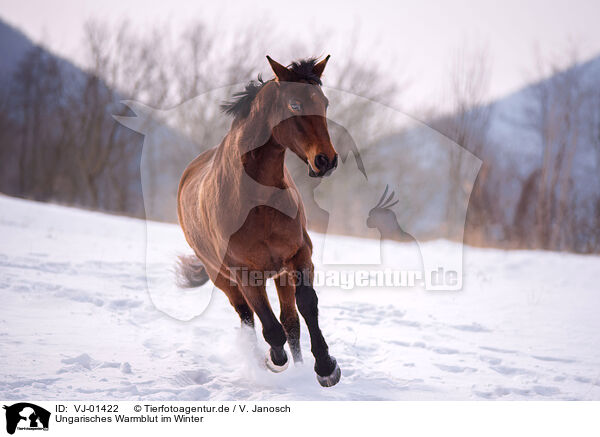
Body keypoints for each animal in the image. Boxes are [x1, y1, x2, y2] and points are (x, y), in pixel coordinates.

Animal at [176, 54, 340, 384]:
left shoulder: (299, 256)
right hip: (222, 277)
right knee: (248, 318)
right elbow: (270, 327)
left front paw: (326, 367)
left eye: (325, 103)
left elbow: (306, 306)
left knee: (290, 321)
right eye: (294, 104)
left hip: (279, 274)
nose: (326, 160)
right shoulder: (244, 273)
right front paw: (275, 361)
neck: (257, 202)